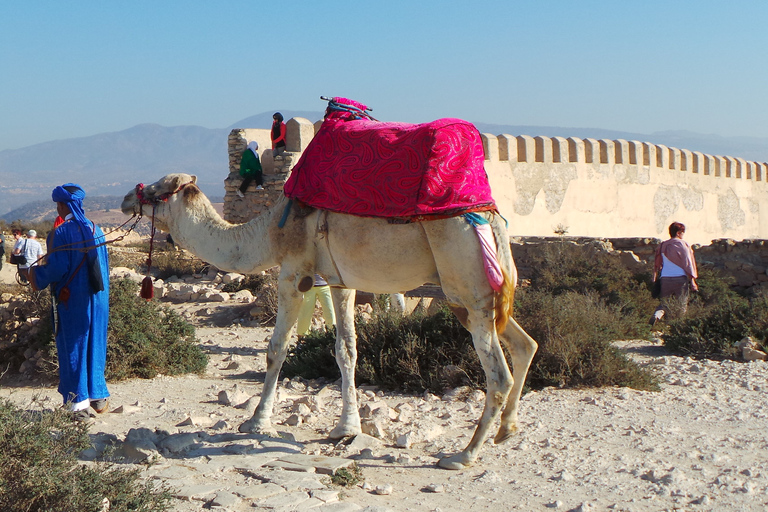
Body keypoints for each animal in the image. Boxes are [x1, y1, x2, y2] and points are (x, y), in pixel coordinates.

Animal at [121, 173, 540, 468]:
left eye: (157, 189)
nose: (127, 198)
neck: (268, 232)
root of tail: (492, 221)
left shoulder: (294, 272)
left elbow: (276, 349)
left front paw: (256, 422)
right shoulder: (339, 280)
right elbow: (346, 349)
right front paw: (345, 428)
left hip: (464, 283)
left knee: (498, 374)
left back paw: (463, 455)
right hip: (482, 296)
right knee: (526, 344)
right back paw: (506, 430)